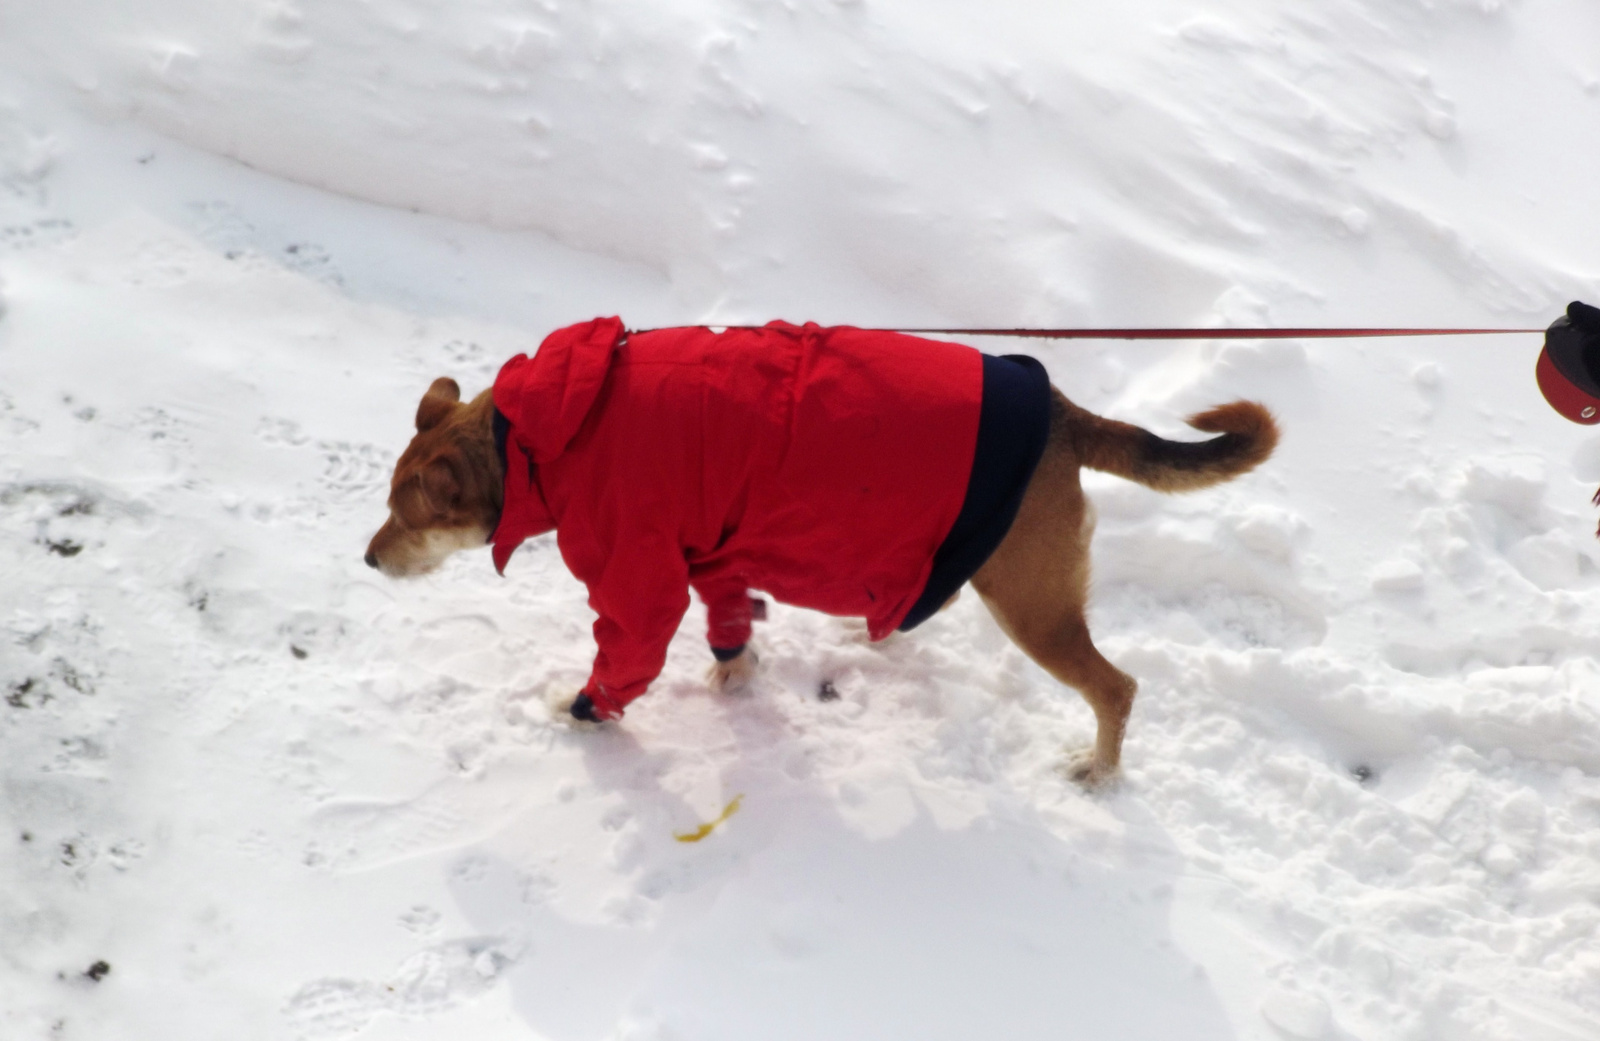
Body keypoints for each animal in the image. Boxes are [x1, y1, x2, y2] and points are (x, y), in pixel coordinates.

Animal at [363, 319, 1273, 789]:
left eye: (405, 518)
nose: (368, 561)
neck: (537, 434)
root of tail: (1064, 412)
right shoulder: (713, 551)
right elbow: (730, 627)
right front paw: (737, 674)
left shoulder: (641, 576)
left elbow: (626, 656)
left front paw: (580, 714)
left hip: (1031, 605)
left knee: (1116, 688)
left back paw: (1101, 768)